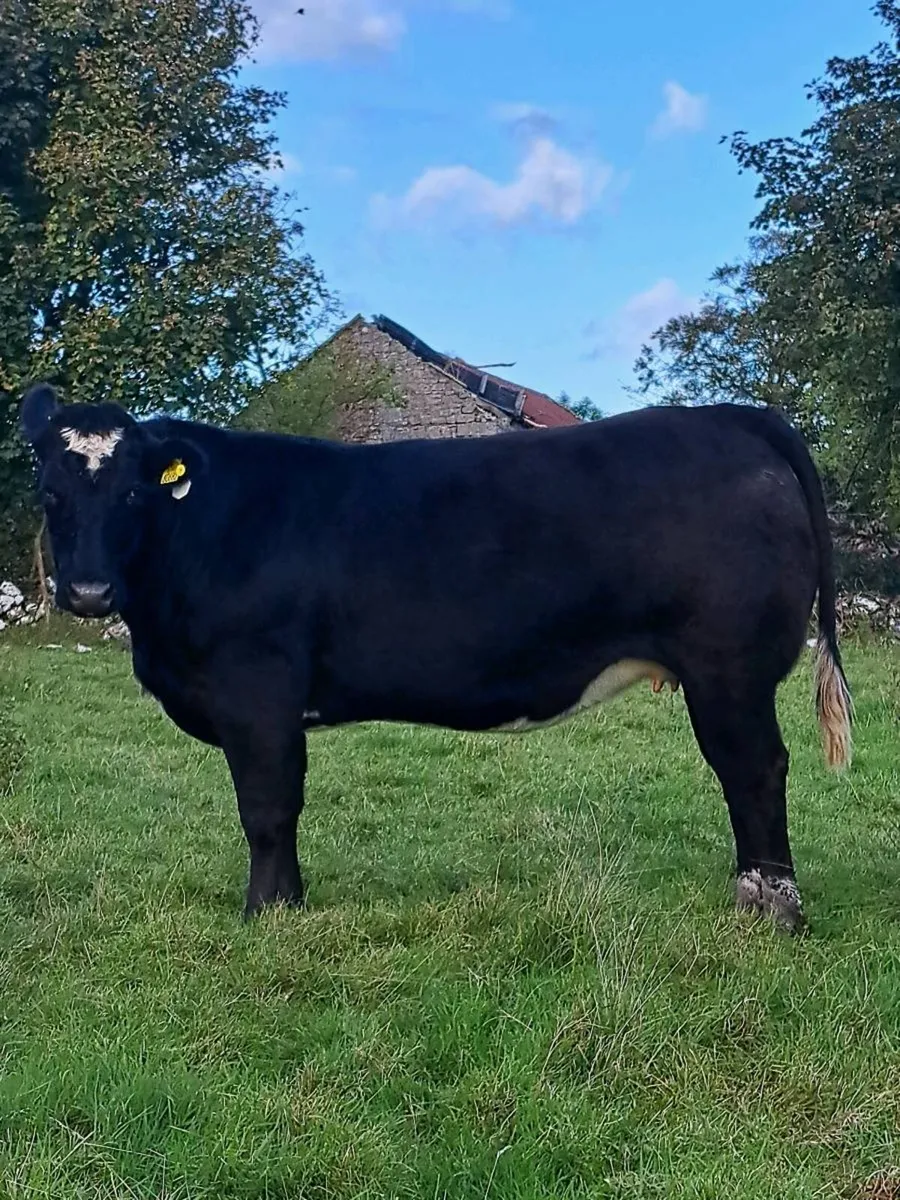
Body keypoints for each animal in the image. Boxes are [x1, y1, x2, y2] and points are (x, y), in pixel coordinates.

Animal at [18, 383, 852, 934]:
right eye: (49, 491)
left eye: (133, 494)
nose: (87, 591)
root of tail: (730, 416)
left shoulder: (256, 691)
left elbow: (267, 807)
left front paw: (268, 913)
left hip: (728, 667)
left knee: (753, 769)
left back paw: (772, 908)